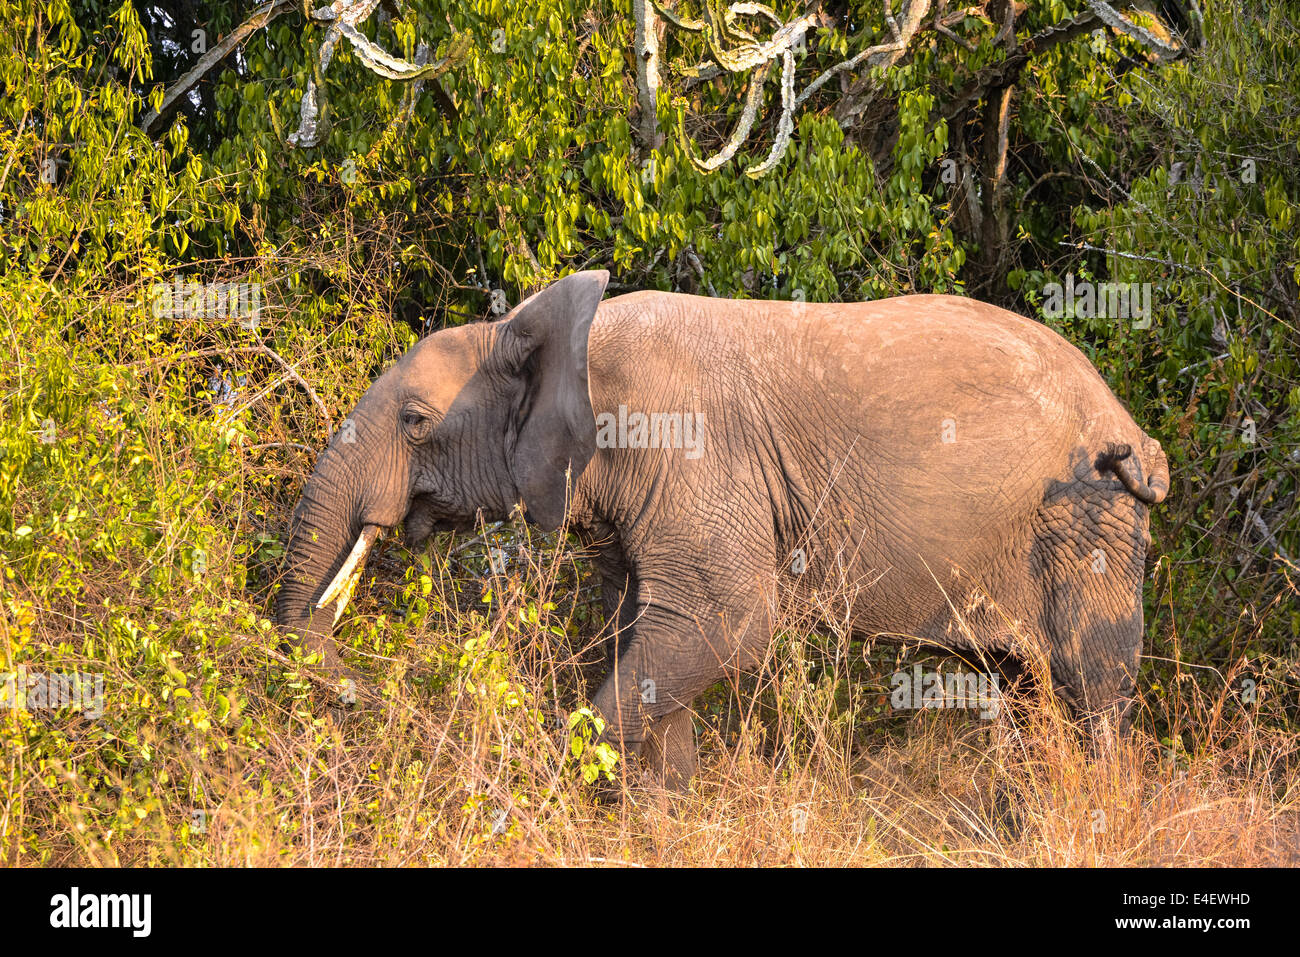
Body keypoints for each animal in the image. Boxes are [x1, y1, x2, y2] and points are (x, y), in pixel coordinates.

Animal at [274, 269, 1170, 785]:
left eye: (417, 423)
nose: (355, 688)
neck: (556, 333)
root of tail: (1133, 427)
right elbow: (649, 631)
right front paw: (663, 811)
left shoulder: (691, 453)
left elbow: (722, 622)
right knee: (1026, 688)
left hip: (1087, 523)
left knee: (1091, 689)